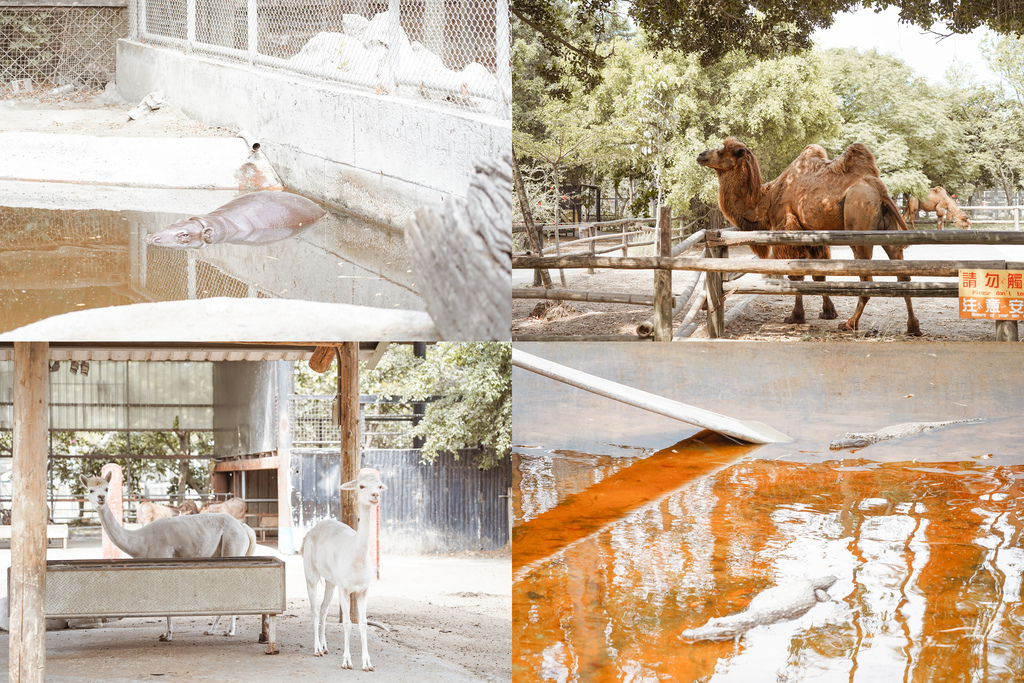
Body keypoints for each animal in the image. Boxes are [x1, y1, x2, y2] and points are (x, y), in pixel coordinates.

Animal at [696, 137, 921, 335]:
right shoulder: (813, 232)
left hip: (859, 223)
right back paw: (913, 327)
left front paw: (795, 316)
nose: (701, 155)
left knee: (868, 277)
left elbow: (796, 275)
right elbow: (818, 274)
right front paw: (828, 312)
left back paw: (850, 324)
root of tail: (880, 190)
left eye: (722, 151)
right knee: (903, 276)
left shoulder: (787, 227)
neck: (766, 199)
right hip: (888, 230)